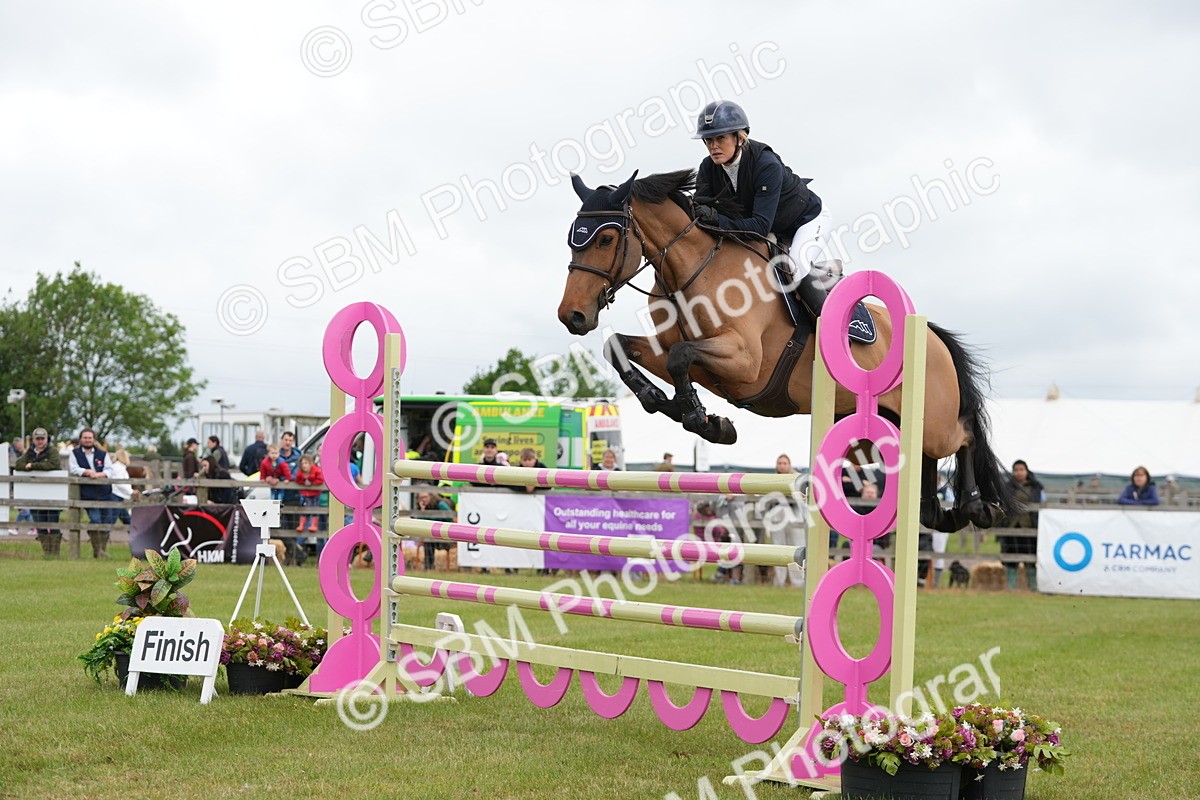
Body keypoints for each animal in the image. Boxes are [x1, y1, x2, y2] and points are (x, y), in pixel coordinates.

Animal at [556, 169, 1017, 532]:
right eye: (572, 240)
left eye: (607, 238)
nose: (571, 316)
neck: (691, 271)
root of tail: (931, 337)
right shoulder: (699, 360)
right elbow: (623, 348)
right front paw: (670, 403)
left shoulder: (745, 363)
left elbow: (681, 356)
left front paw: (701, 418)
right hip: (881, 430)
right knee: (920, 459)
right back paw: (937, 510)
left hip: (933, 422)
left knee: (963, 433)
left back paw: (977, 505)